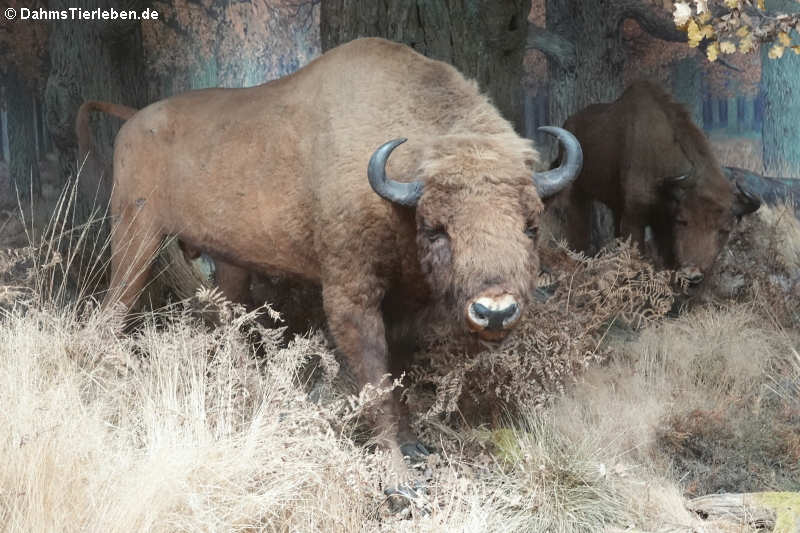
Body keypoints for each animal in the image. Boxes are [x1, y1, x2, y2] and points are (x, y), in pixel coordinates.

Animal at [98, 37, 580, 460]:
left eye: (531, 226)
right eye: (435, 228)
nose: (495, 310)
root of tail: (132, 123)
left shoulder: (404, 306)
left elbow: (398, 374)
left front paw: (414, 445)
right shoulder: (351, 296)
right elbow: (375, 381)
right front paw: (399, 477)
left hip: (227, 260)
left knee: (226, 316)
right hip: (136, 234)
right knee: (112, 308)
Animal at [552, 80, 760, 282]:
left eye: (725, 230)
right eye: (682, 221)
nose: (692, 273)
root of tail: (568, 123)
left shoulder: (662, 224)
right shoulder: (635, 218)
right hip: (577, 191)